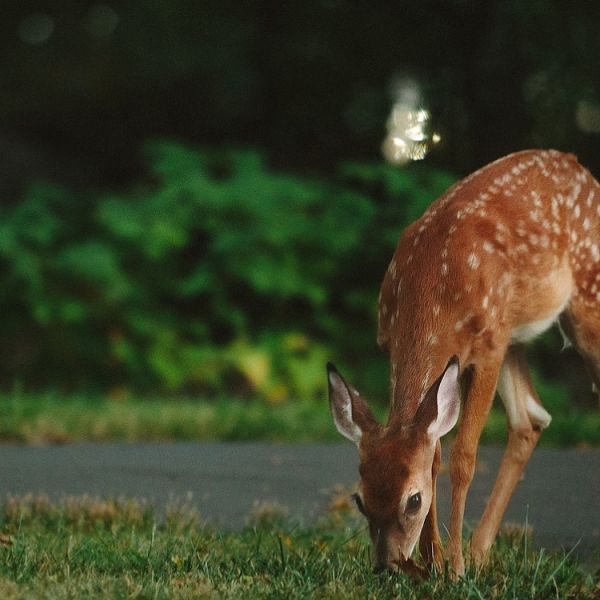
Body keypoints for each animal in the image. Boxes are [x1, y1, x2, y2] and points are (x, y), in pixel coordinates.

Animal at [328, 150, 600, 576]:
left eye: (413, 501)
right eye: (360, 500)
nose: (387, 566)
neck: (432, 289)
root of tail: (579, 167)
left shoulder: (487, 348)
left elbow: (463, 458)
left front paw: (453, 568)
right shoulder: (396, 345)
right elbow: (435, 453)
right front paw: (434, 561)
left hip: (583, 300)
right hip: (514, 334)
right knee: (530, 418)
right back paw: (480, 551)